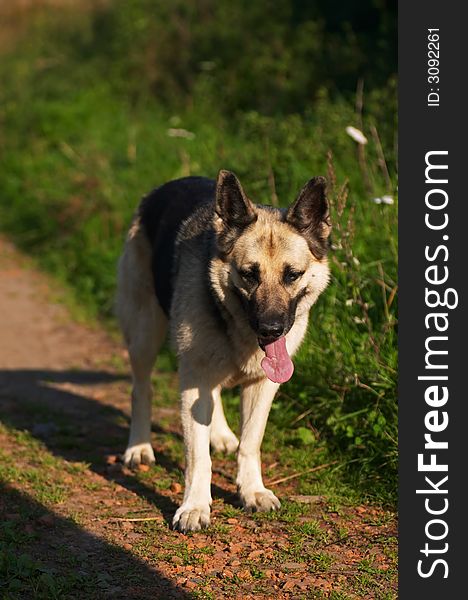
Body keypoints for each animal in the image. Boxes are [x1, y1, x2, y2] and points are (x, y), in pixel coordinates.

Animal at [115, 171, 330, 532]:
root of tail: (164, 187)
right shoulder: (193, 379)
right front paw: (194, 506)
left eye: (292, 275)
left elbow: (251, 442)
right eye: (249, 274)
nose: (271, 329)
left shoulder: (261, 386)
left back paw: (221, 435)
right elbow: (197, 456)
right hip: (145, 335)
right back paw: (139, 447)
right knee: (141, 390)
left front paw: (251, 490)